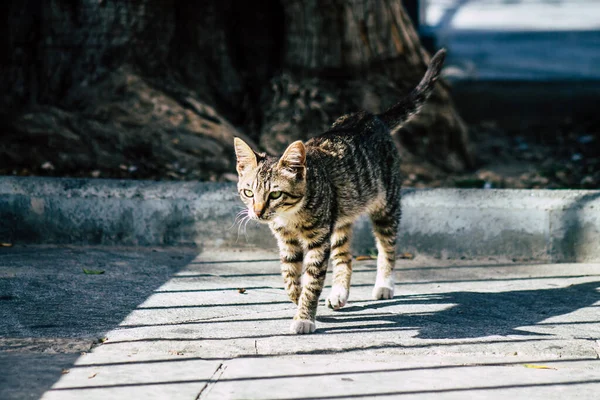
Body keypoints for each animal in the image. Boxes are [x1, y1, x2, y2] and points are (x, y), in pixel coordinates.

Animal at [234, 49, 446, 334]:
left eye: (275, 194)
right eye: (248, 193)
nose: (257, 213)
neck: (290, 215)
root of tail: (371, 117)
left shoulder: (318, 239)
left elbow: (312, 280)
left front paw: (304, 316)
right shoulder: (287, 241)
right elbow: (289, 275)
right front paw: (297, 298)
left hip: (385, 205)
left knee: (388, 246)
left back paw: (384, 284)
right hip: (341, 216)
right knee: (345, 257)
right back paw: (339, 293)